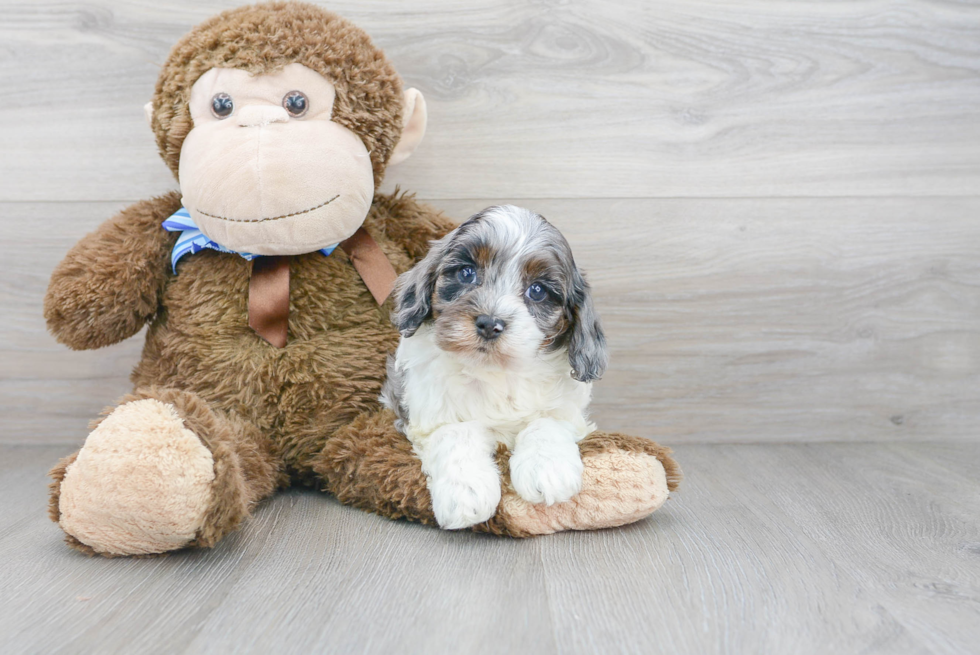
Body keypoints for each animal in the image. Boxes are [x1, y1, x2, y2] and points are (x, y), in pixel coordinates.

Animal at [380, 208, 604, 532]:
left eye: (537, 291)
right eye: (466, 273)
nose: (489, 323)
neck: (494, 371)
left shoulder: (567, 410)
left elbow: (546, 423)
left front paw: (548, 470)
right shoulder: (428, 414)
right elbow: (455, 434)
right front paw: (466, 493)